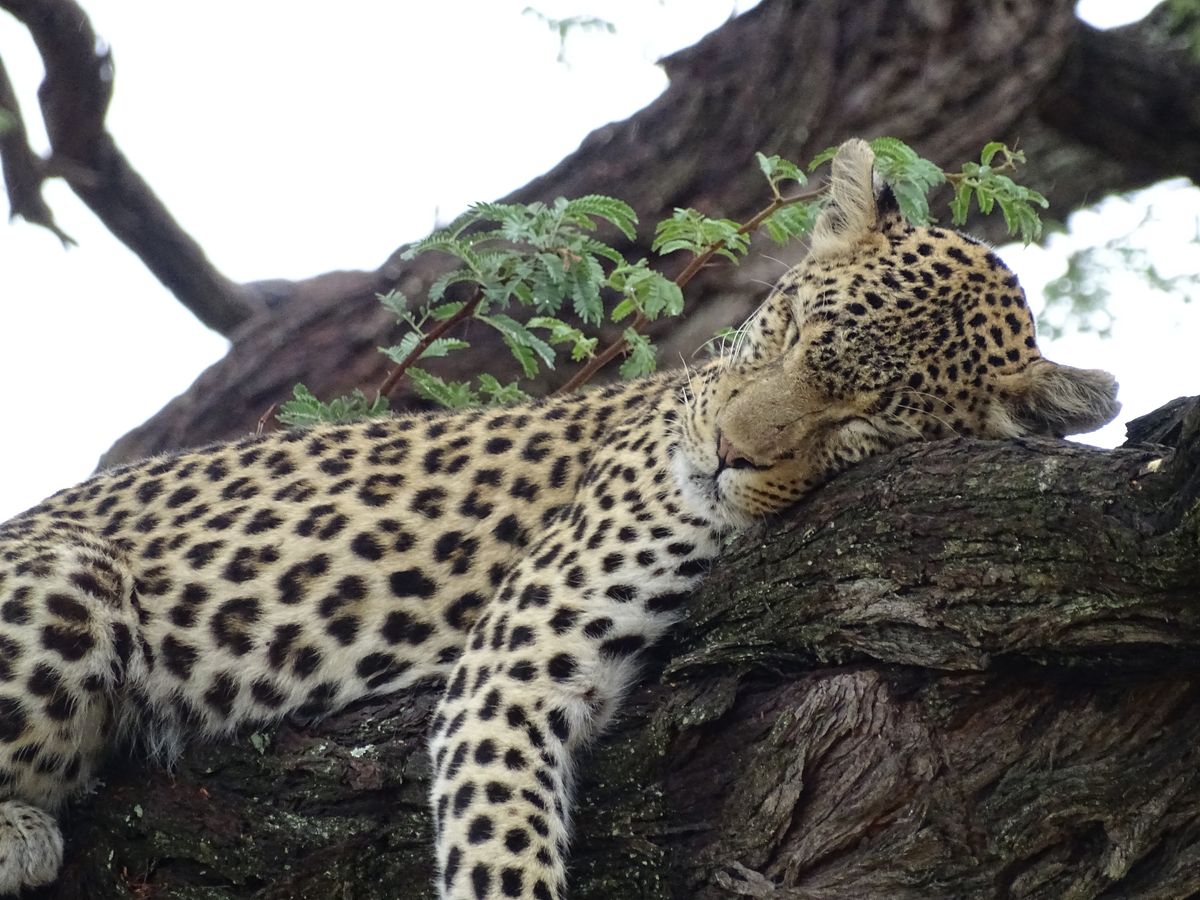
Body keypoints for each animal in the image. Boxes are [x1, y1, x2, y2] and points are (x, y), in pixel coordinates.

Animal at [0, 139, 1119, 899]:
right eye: (794, 326)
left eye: (865, 422)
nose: (725, 450)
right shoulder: (511, 669)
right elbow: (503, 855)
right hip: (74, 576)